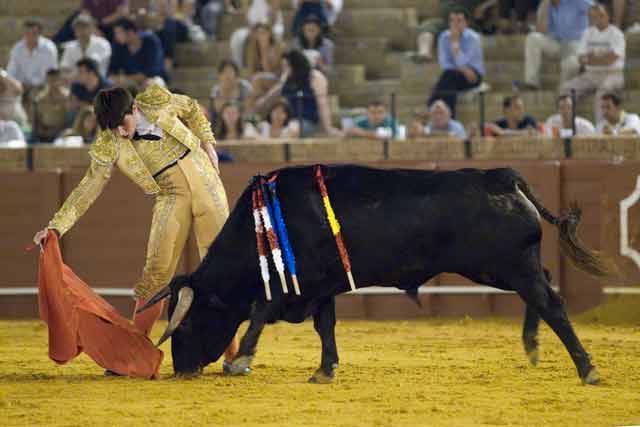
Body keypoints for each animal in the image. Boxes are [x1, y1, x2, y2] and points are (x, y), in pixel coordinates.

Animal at [139, 164, 616, 384]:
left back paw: (587, 369)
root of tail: (503, 176)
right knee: (544, 289)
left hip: (506, 265)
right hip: (506, 268)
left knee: (552, 302)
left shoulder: (296, 287)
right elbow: (325, 326)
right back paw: (533, 347)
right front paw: (324, 370)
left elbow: (258, 312)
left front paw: (240, 360)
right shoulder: (322, 289)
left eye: (186, 326)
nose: (181, 370)